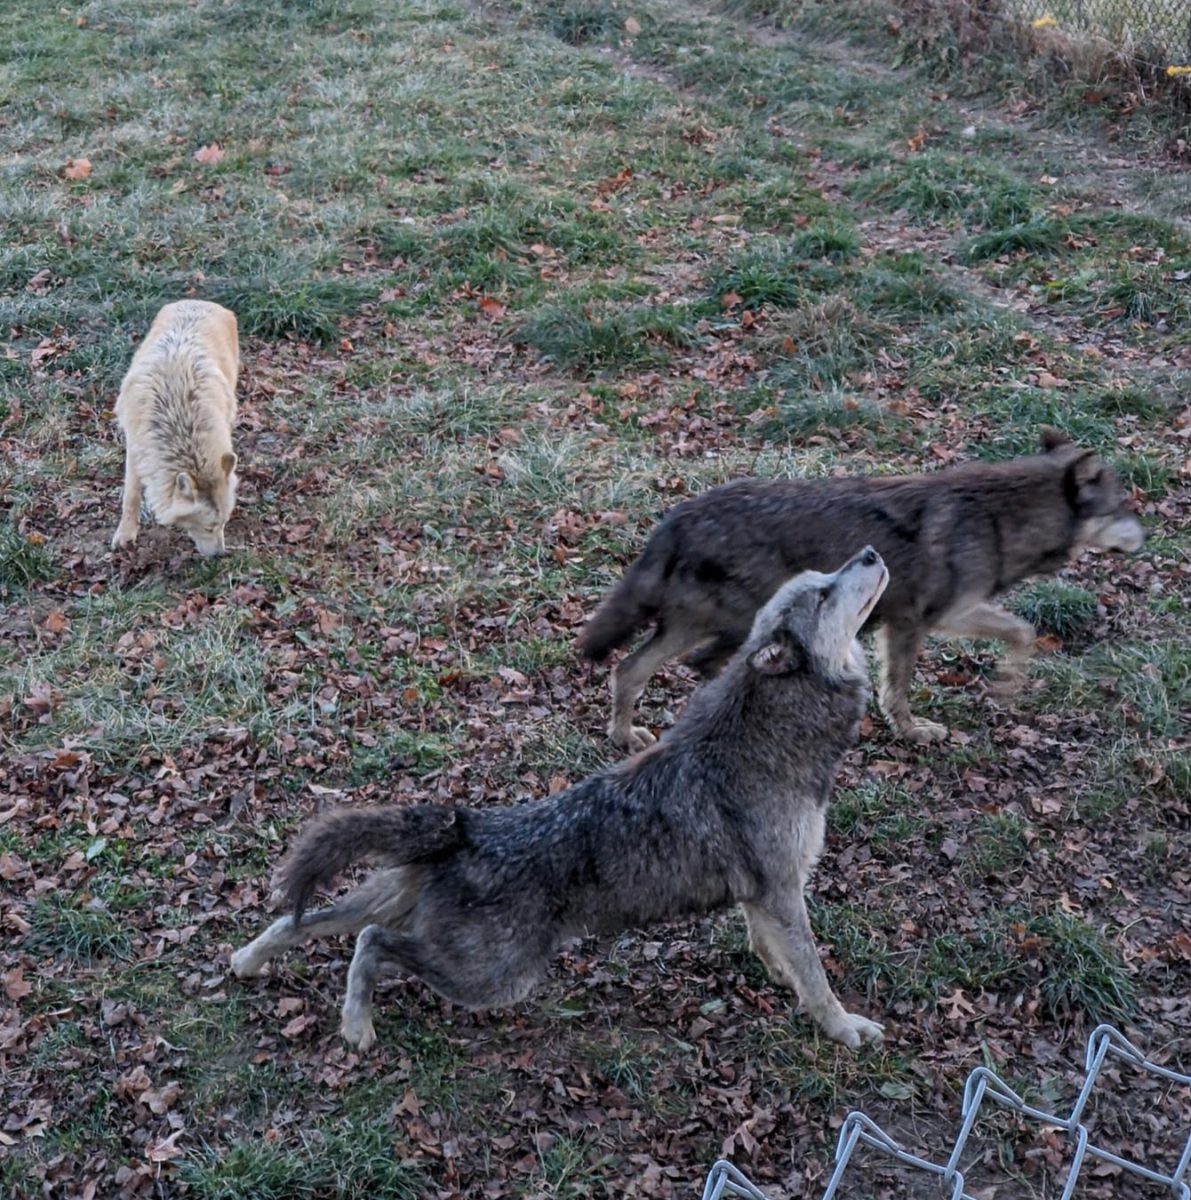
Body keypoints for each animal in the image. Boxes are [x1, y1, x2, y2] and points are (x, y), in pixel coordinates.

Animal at [110, 302, 241, 559]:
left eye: (224, 523)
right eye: (209, 527)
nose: (220, 555)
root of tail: (200, 302)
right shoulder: (136, 450)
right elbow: (131, 495)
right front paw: (125, 534)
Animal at [232, 549, 888, 1056]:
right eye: (824, 591)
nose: (870, 553)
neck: (772, 730)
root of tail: (467, 826)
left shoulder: (763, 894)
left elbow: (775, 951)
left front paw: (781, 981)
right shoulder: (782, 890)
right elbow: (817, 976)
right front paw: (842, 1028)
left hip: (401, 916)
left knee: (301, 921)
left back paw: (247, 962)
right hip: (495, 977)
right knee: (368, 944)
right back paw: (356, 1026)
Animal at [576, 432, 1142, 748]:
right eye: (1125, 506)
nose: (1149, 534)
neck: (998, 519)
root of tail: (678, 518)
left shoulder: (909, 622)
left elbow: (1013, 635)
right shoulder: (928, 619)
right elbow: (1009, 638)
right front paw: (927, 726)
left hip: (696, 627)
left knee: (632, 670)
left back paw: (624, 736)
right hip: (731, 626)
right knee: (692, 668)